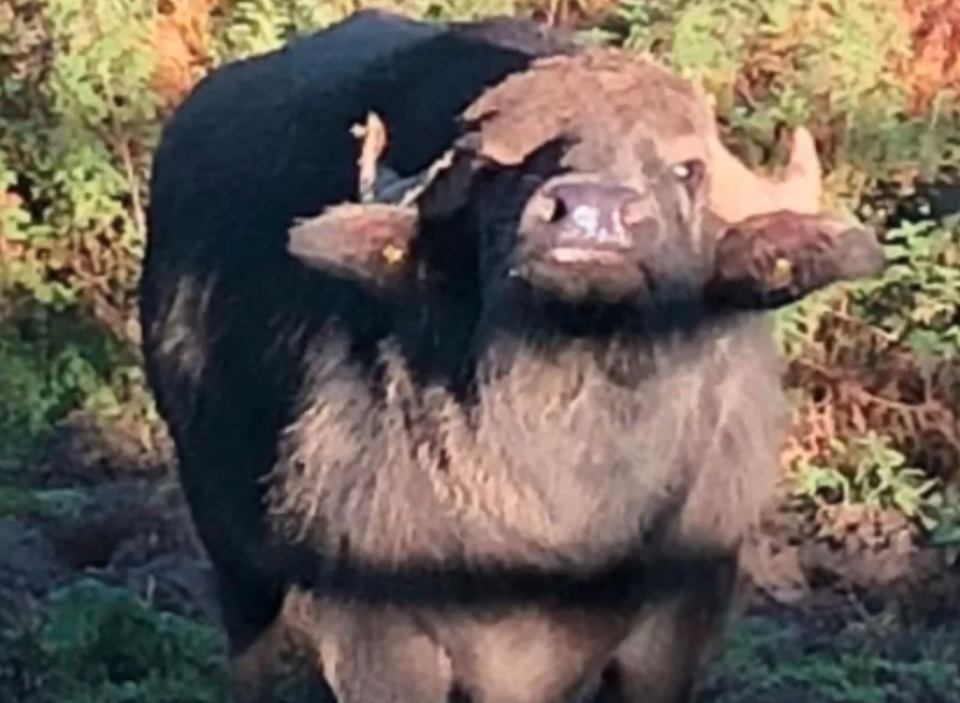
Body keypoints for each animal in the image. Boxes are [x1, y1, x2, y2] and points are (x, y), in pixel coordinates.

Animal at [139, 9, 888, 703]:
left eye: (687, 169)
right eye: (497, 165)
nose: (591, 214)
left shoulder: (678, 621)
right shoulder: (375, 627)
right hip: (226, 536)